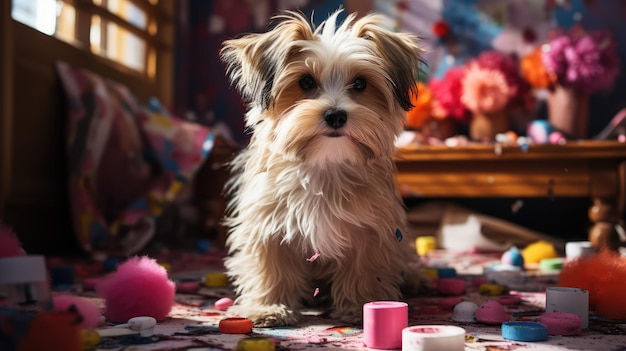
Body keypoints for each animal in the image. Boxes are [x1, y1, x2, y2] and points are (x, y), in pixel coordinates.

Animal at [217, 8, 426, 328]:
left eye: (360, 84)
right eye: (305, 82)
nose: (336, 115)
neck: (325, 165)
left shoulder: (370, 227)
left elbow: (364, 268)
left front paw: (361, 305)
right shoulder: (266, 222)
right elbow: (270, 268)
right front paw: (268, 307)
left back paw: (414, 277)